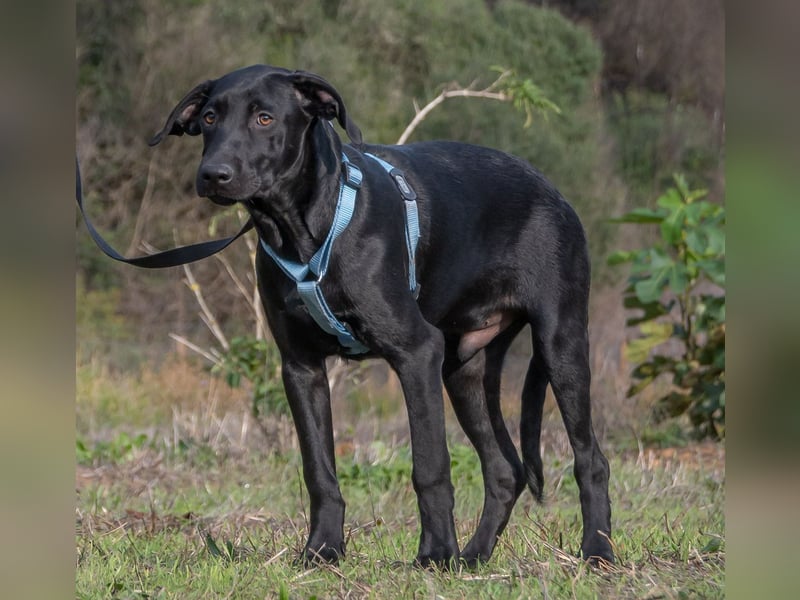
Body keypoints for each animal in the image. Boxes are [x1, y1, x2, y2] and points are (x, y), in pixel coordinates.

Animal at [150, 64, 612, 568]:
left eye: (265, 118)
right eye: (210, 118)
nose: (213, 175)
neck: (307, 226)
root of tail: (553, 191)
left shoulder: (417, 353)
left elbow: (430, 466)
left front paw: (434, 555)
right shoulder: (300, 368)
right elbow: (319, 471)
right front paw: (323, 550)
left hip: (560, 343)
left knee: (591, 459)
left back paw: (596, 552)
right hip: (465, 369)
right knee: (505, 468)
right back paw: (474, 557)